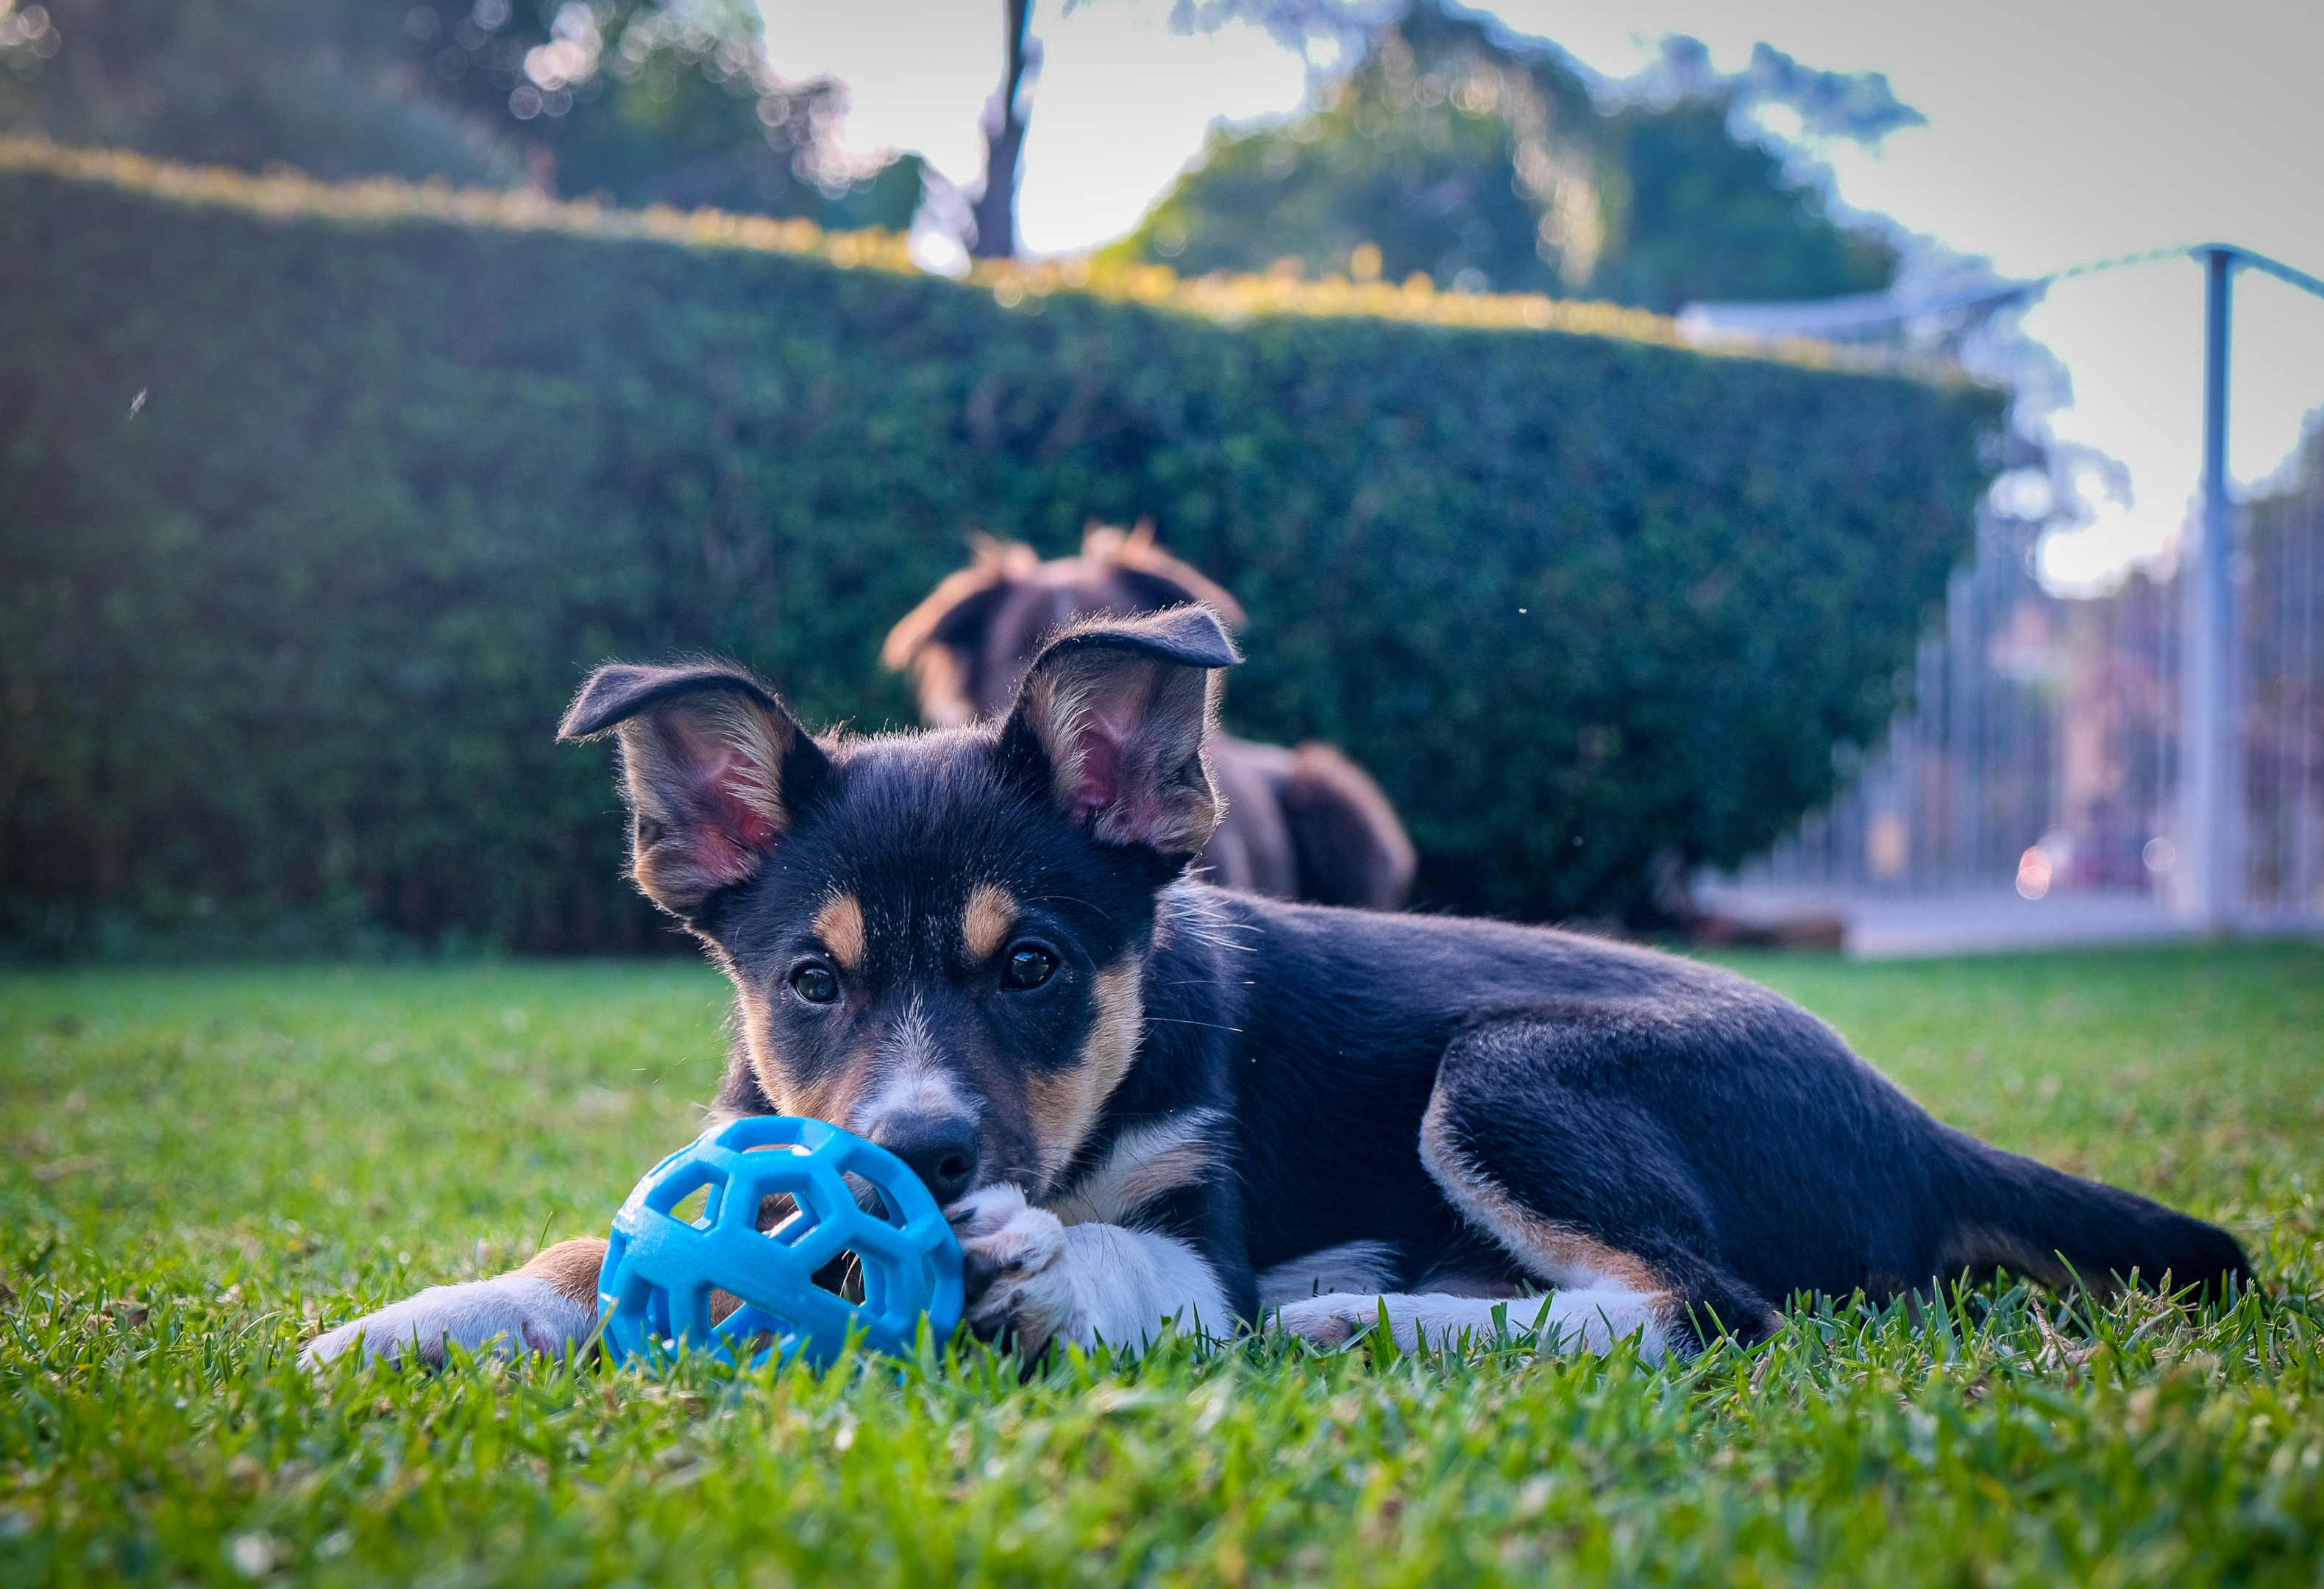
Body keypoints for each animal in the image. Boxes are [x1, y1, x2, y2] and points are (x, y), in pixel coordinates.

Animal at [309, 608, 2249, 1365]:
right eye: (807, 978)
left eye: (1032, 967)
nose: (922, 1163)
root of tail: (1917, 1123)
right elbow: (592, 1246)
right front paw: (404, 1324)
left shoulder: (1204, 1224)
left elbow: (1146, 1261)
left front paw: (1042, 1263)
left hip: (1514, 1067)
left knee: (1697, 1307)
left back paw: (1357, 1316)